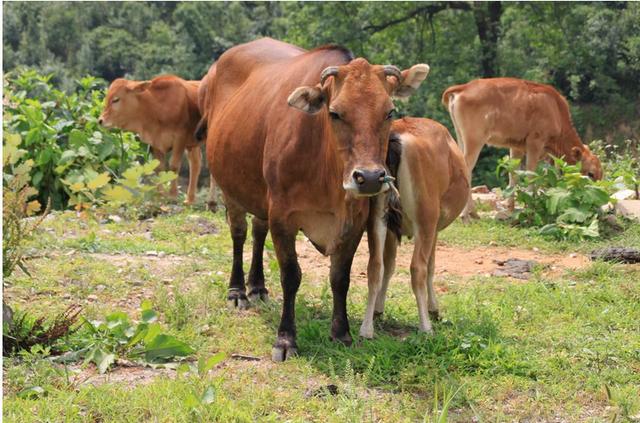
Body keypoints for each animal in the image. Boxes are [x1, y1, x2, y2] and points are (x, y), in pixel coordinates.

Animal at [205, 38, 428, 362]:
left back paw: (257, 287)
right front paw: (286, 338)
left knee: (258, 231)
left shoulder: (354, 222)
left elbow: (340, 278)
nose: (369, 177)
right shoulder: (283, 216)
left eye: (389, 112)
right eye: (334, 113)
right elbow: (291, 276)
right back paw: (237, 291)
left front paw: (341, 333)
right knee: (239, 233)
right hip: (230, 188)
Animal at [360, 117, 470, 340]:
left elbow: (389, 265)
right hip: (425, 218)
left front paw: (378, 309)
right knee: (417, 268)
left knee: (374, 266)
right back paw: (425, 326)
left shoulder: (392, 228)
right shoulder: (434, 227)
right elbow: (431, 266)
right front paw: (434, 309)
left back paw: (366, 329)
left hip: (378, 214)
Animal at [442, 77, 604, 220]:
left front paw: (511, 209)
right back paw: (467, 215)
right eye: (590, 173)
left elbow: (513, 175)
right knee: (467, 169)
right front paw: (529, 208)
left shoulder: (516, 147)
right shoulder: (535, 143)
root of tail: (465, 86)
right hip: (475, 141)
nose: (597, 200)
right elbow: (531, 174)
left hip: (461, 139)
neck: (555, 109)